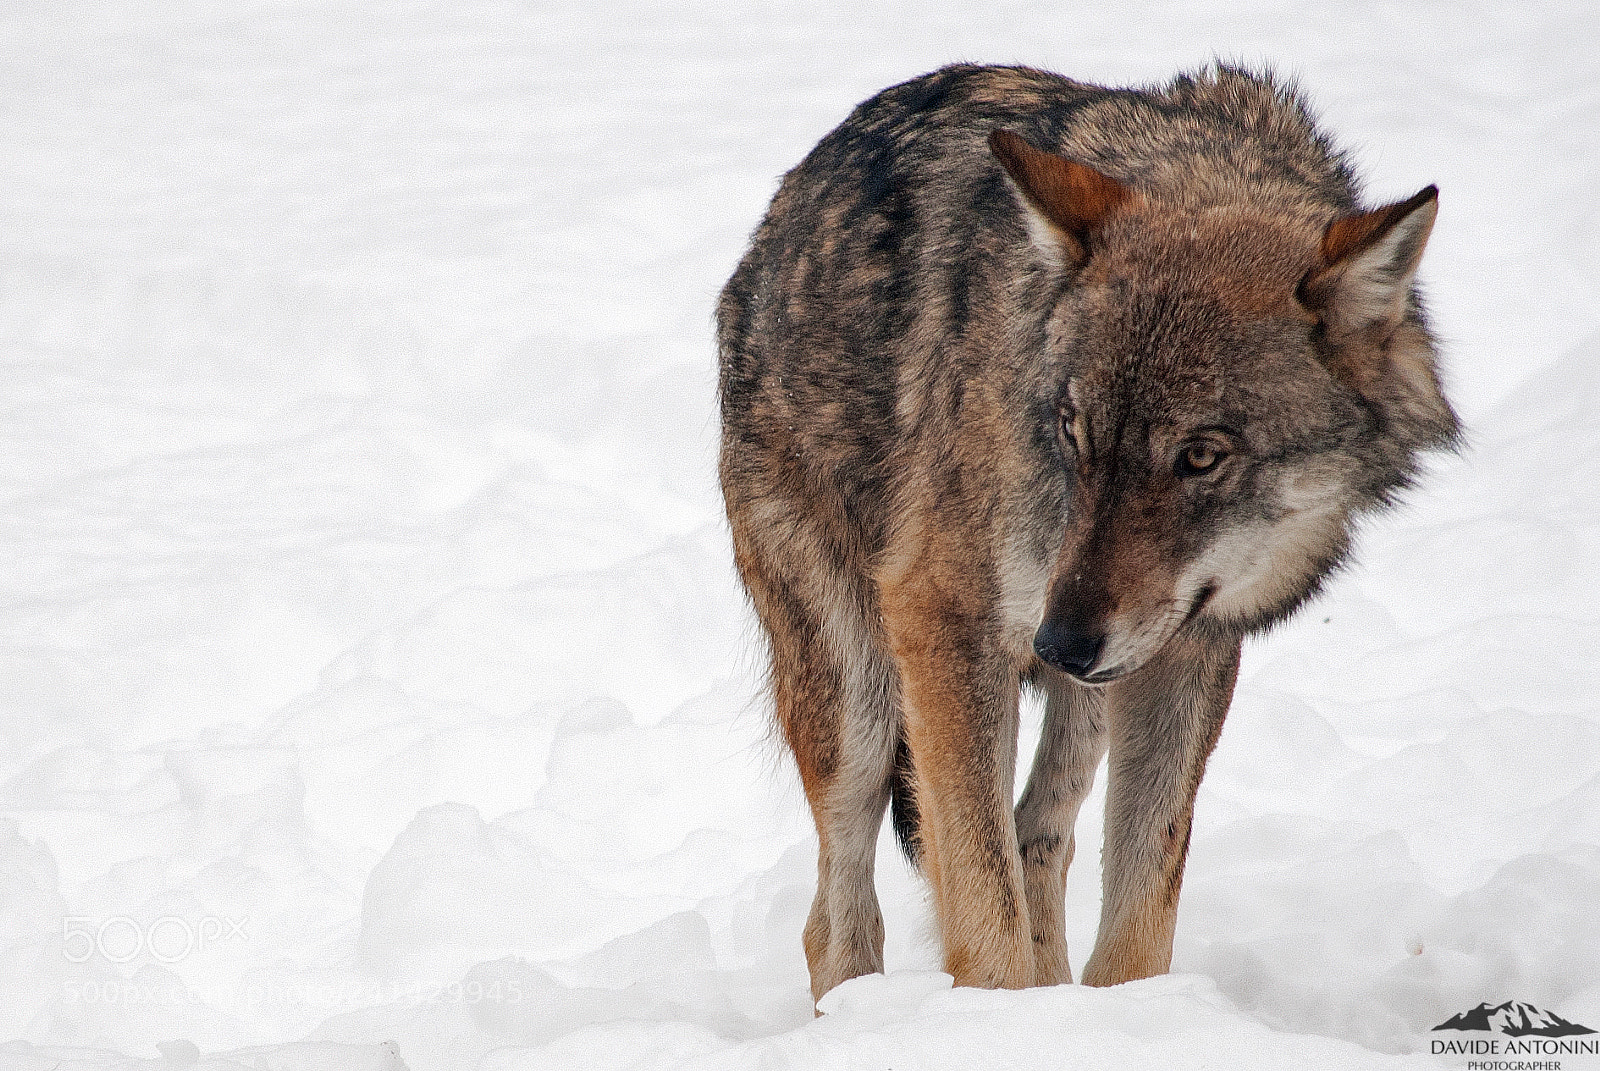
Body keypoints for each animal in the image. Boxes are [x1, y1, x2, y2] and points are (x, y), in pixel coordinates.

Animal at [716, 63, 1459, 1003]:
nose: (1057, 643)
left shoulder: (1186, 649)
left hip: (1083, 692)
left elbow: (1141, 909)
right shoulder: (941, 616)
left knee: (1038, 830)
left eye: (1201, 455)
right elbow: (983, 918)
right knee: (838, 913)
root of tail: (772, 228)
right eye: (1074, 430)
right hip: (859, 700)